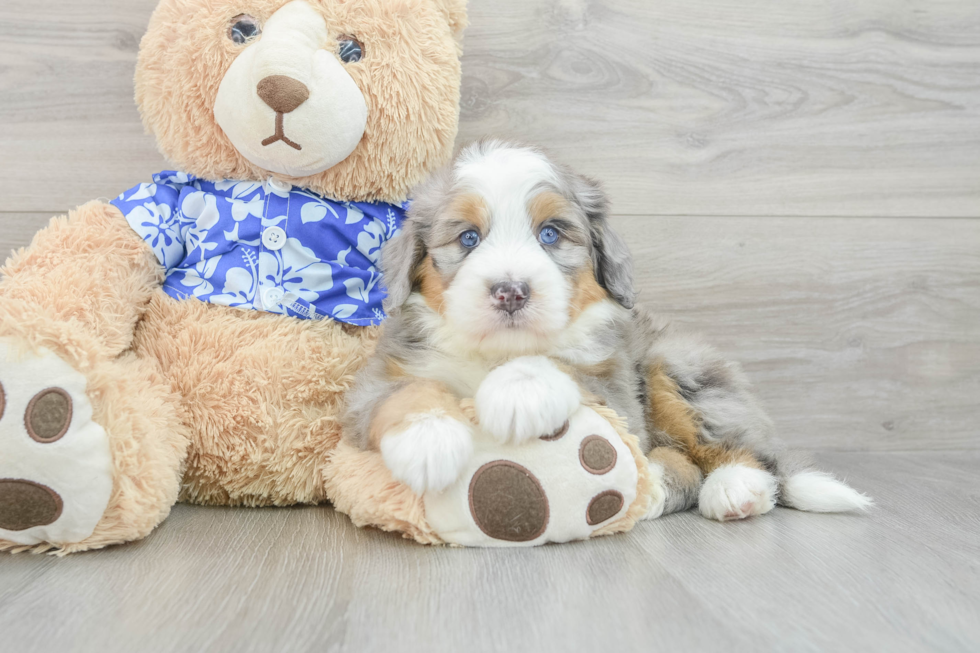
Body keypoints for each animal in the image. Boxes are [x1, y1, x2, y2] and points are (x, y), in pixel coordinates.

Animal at [344, 141, 872, 520]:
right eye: (468, 238)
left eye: (550, 234)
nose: (511, 291)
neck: (497, 353)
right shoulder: (375, 383)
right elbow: (405, 394)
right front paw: (428, 444)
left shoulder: (617, 394)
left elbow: (561, 367)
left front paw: (517, 393)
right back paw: (653, 485)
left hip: (675, 365)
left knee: (743, 452)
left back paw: (734, 489)